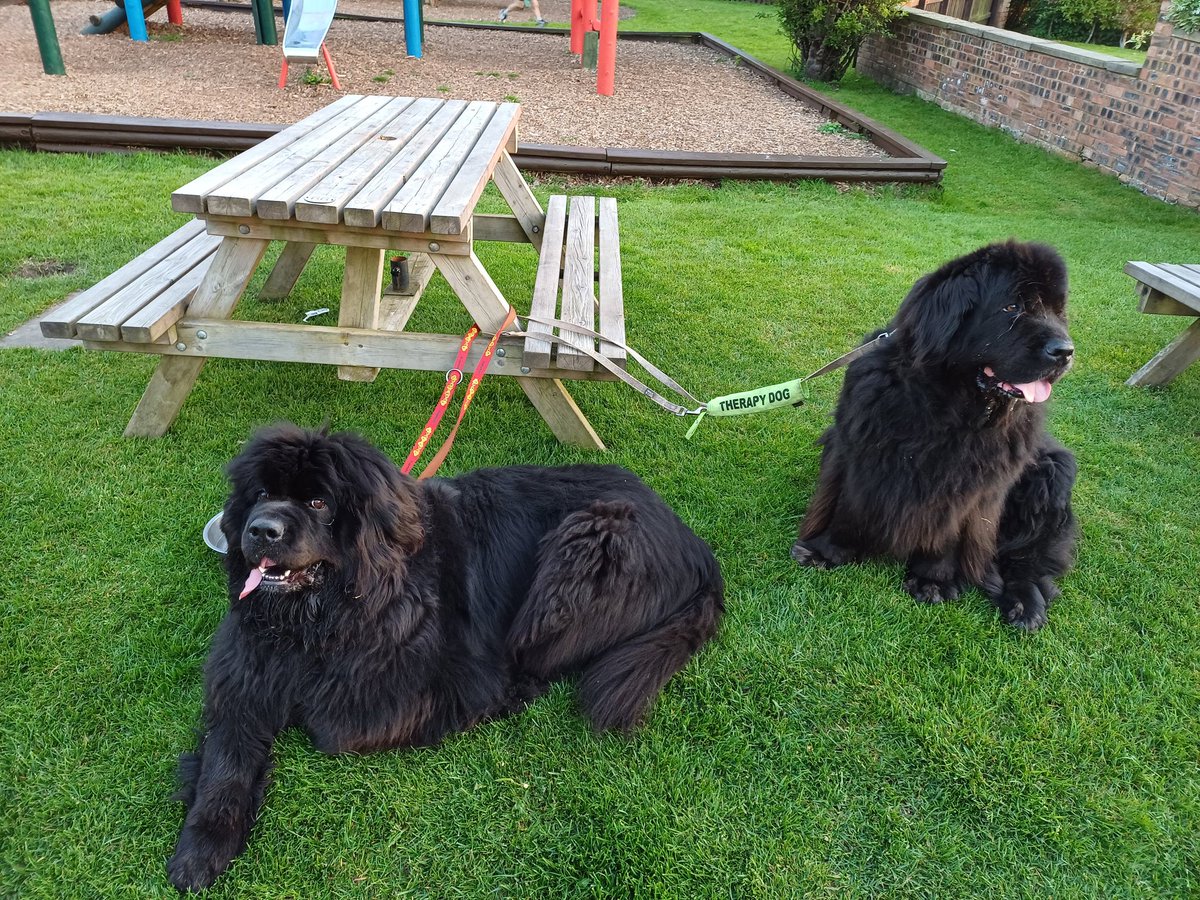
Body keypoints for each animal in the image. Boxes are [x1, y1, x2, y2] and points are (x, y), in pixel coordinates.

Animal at [168, 429, 720, 897]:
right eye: (261, 493)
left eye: (319, 502)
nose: (261, 530)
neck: (319, 620)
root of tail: (696, 543)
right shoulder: (243, 675)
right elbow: (226, 757)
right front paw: (200, 850)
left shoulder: (419, 688)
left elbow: (333, 726)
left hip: (582, 550)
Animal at [796, 241, 1080, 633]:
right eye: (1012, 307)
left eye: (1057, 311)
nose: (1065, 351)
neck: (949, 405)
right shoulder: (858, 450)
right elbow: (848, 505)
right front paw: (824, 550)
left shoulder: (968, 486)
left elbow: (947, 532)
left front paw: (933, 580)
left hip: (1053, 471)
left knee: (1028, 559)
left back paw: (1025, 605)